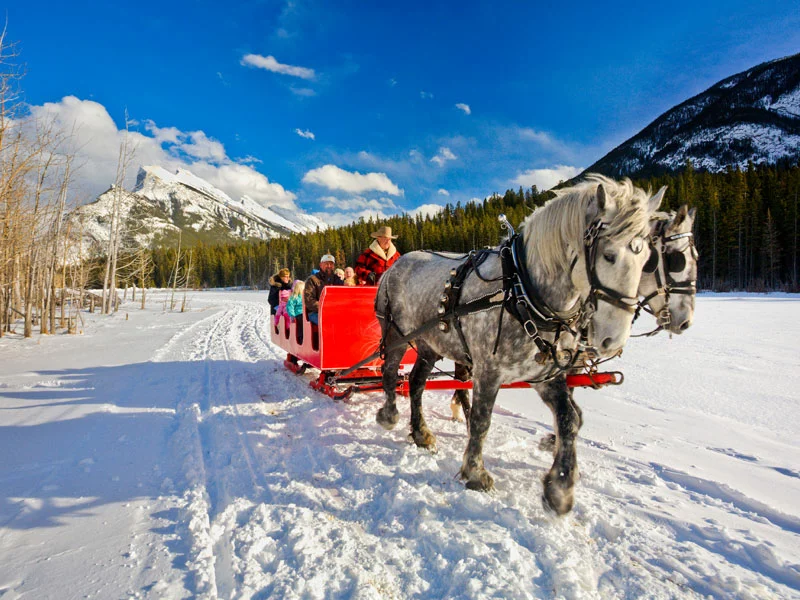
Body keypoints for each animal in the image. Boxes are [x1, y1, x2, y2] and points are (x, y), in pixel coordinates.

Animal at [376, 175, 664, 516]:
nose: (612, 339)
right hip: (395, 334)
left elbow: (569, 420)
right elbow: (482, 420)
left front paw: (560, 488)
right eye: (608, 255)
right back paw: (389, 415)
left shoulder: (546, 375)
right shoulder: (488, 370)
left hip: (429, 343)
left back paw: (421, 433)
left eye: (648, 260)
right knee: (390, 372)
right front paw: (475, 473)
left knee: (417, 382)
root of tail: (396, 264)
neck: (522, 289)